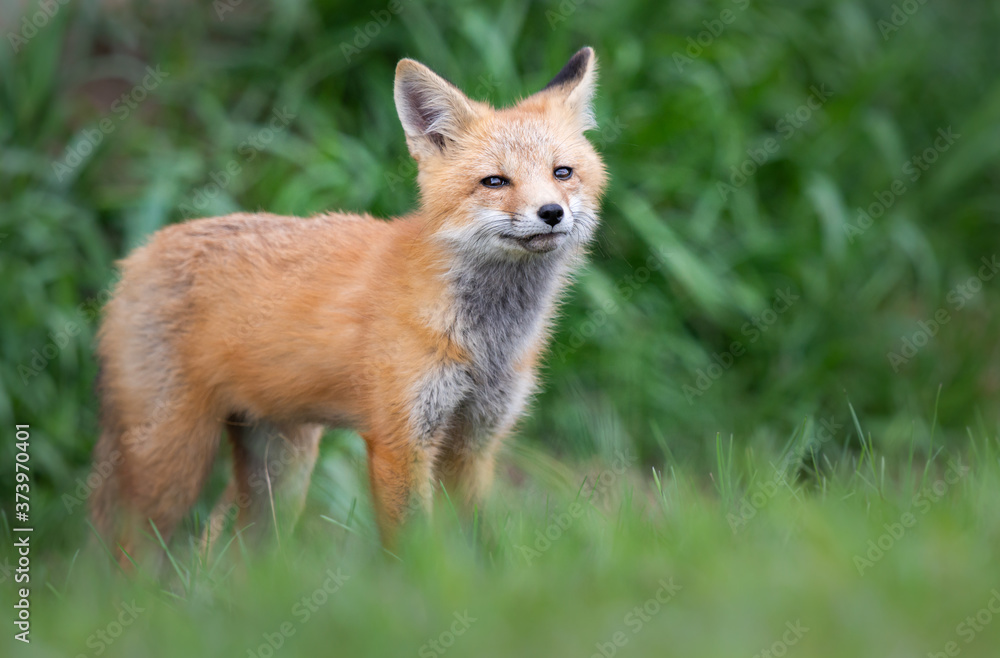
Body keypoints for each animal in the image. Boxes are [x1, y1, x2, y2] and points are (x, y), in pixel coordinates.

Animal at [91, 47, 607, 565]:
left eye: (562, 173)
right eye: (495, 181)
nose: (551, 212)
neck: (488, 341)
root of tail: (137, 254)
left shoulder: (474, 441)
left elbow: (477, 543)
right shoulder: (399, 442)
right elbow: (414, 547)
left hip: (280, 469)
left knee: (237, 557)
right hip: (173, 460)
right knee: (130, 552)